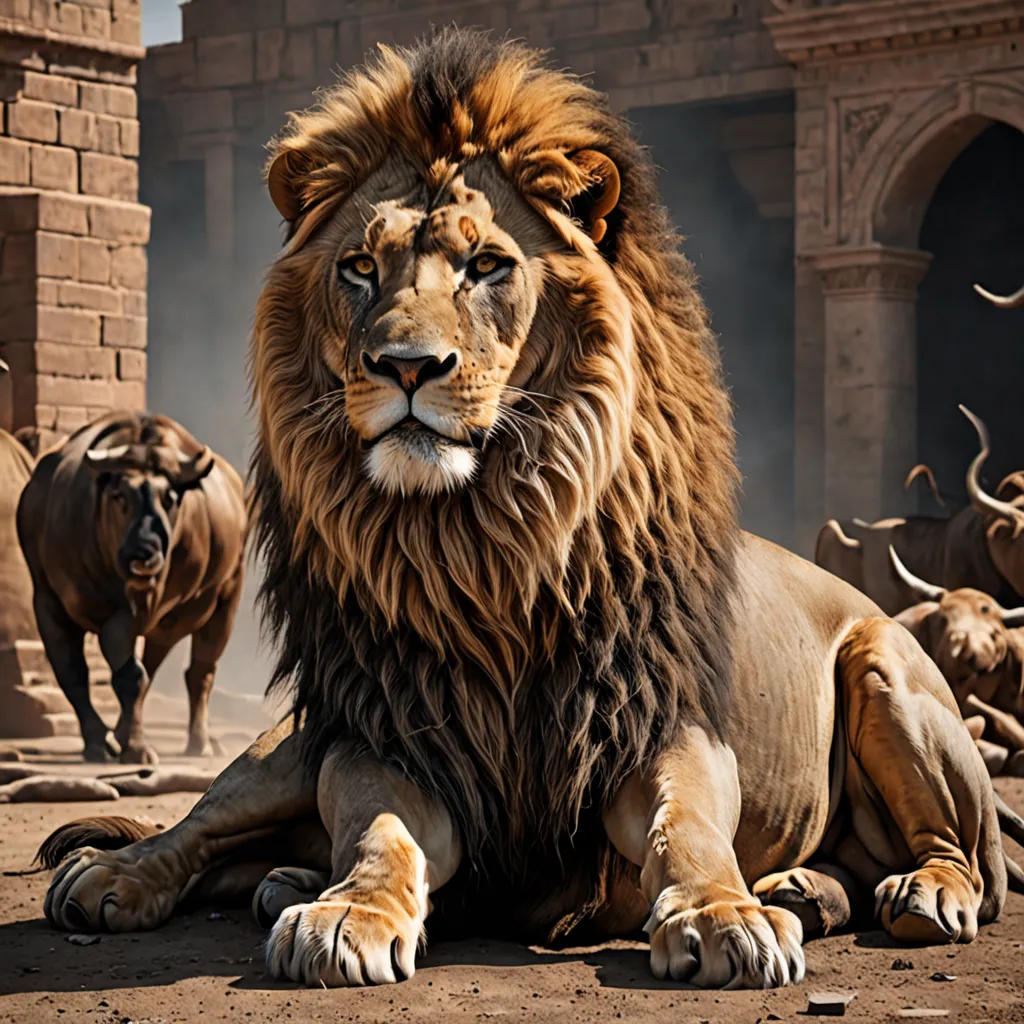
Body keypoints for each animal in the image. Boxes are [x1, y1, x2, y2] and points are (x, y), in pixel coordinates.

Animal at [40, 29, 1024, 989]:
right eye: (359, 268)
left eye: (486, 266)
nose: (405, 365)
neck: (485, 548)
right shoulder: (384, 734)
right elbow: (379, 837)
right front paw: (348, 912)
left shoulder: (663, 726)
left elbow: (688, 831)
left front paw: (724, 915)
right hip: (286, 748)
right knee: (202, 830)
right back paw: (131, 877)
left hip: (885, 663)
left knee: (962, 858)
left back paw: (882, 893)